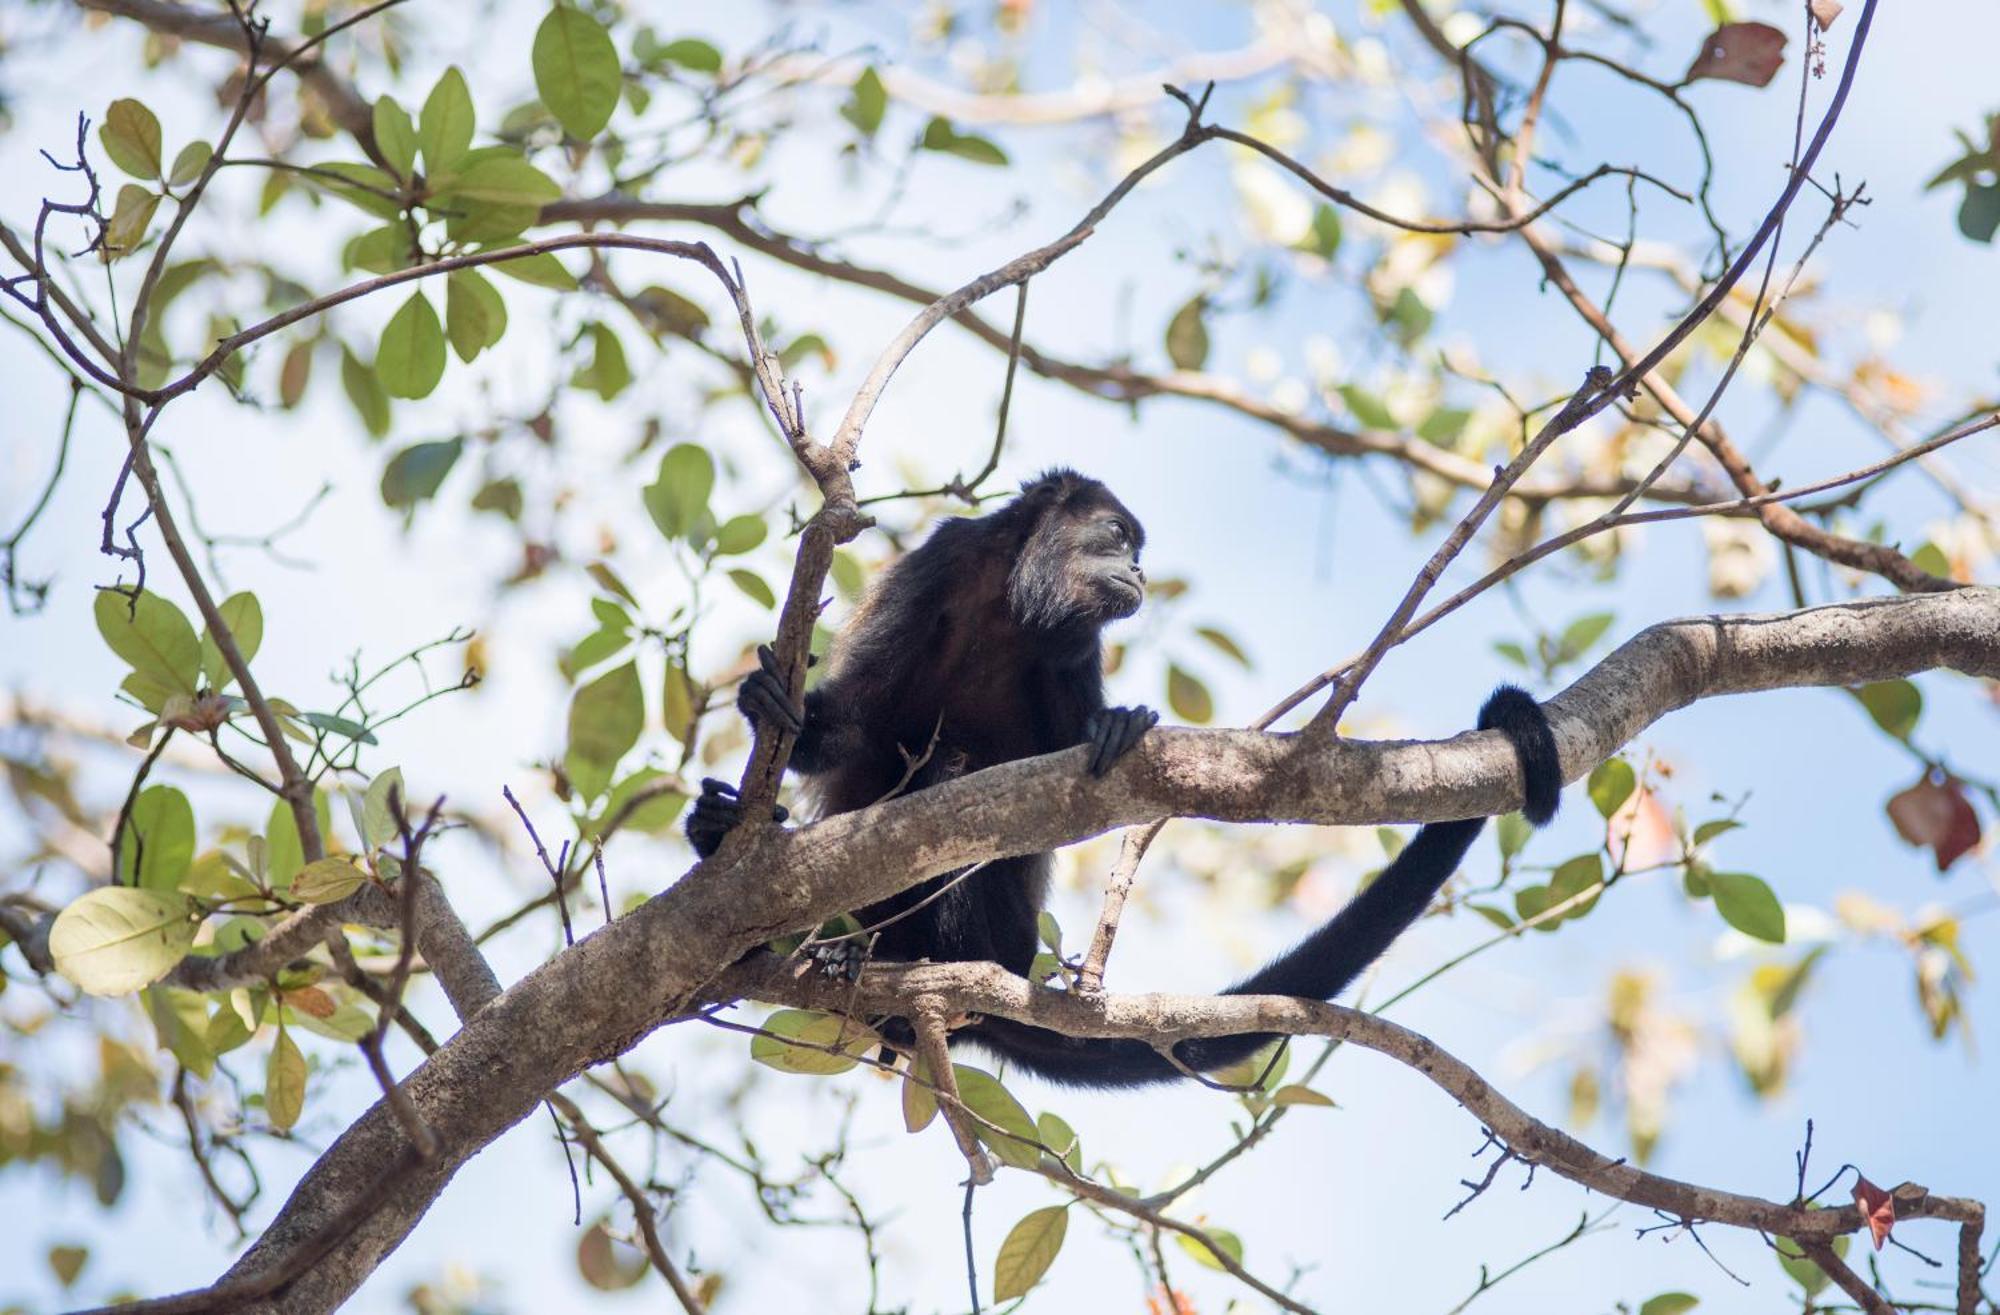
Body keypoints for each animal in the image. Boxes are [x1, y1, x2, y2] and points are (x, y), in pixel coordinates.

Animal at [688, 467, 1560, 1087]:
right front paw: (774, 706)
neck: (1014, 607)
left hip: (1001, 939)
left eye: (1138, 550)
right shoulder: (939, 565)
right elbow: (856, 718)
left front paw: (1113, 727)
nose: (1138, 571)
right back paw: (746, 855)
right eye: (1118, 536)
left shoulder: (1074, 648)